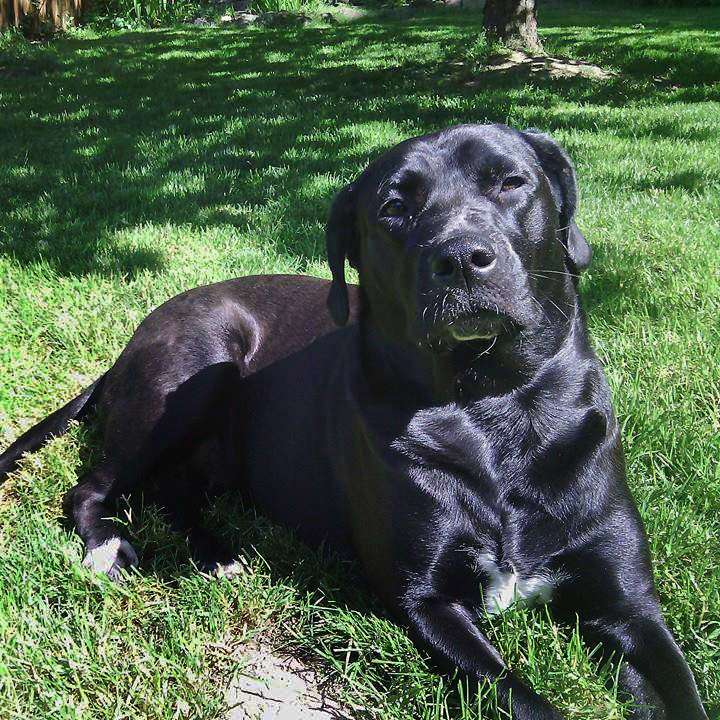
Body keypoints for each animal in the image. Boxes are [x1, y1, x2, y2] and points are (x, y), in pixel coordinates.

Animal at [0, 125, 708, 720]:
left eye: (510, 181)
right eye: (394, 206)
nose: (463, 257)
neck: (491, 408)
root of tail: (132, 342)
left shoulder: (630, 607)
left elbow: (681, 689)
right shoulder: (427, 600)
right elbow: (525, 700)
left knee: (174, 491)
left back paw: (217, 554)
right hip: (197, 368)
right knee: (91, 486)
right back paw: (106, 546)